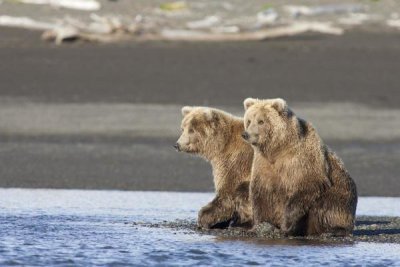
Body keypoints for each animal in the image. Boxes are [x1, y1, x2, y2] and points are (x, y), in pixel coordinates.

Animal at [242, 98, 358, 237]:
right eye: (249, 120)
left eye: (261, 121)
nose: (246, 134)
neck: (277, 149)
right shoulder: (263, 165)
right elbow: (261, 194)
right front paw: (259, 225)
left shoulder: (301, 162)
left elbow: (303, 189)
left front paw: (285, 226)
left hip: (340, 193)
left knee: (327, 208)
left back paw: (333, 230)